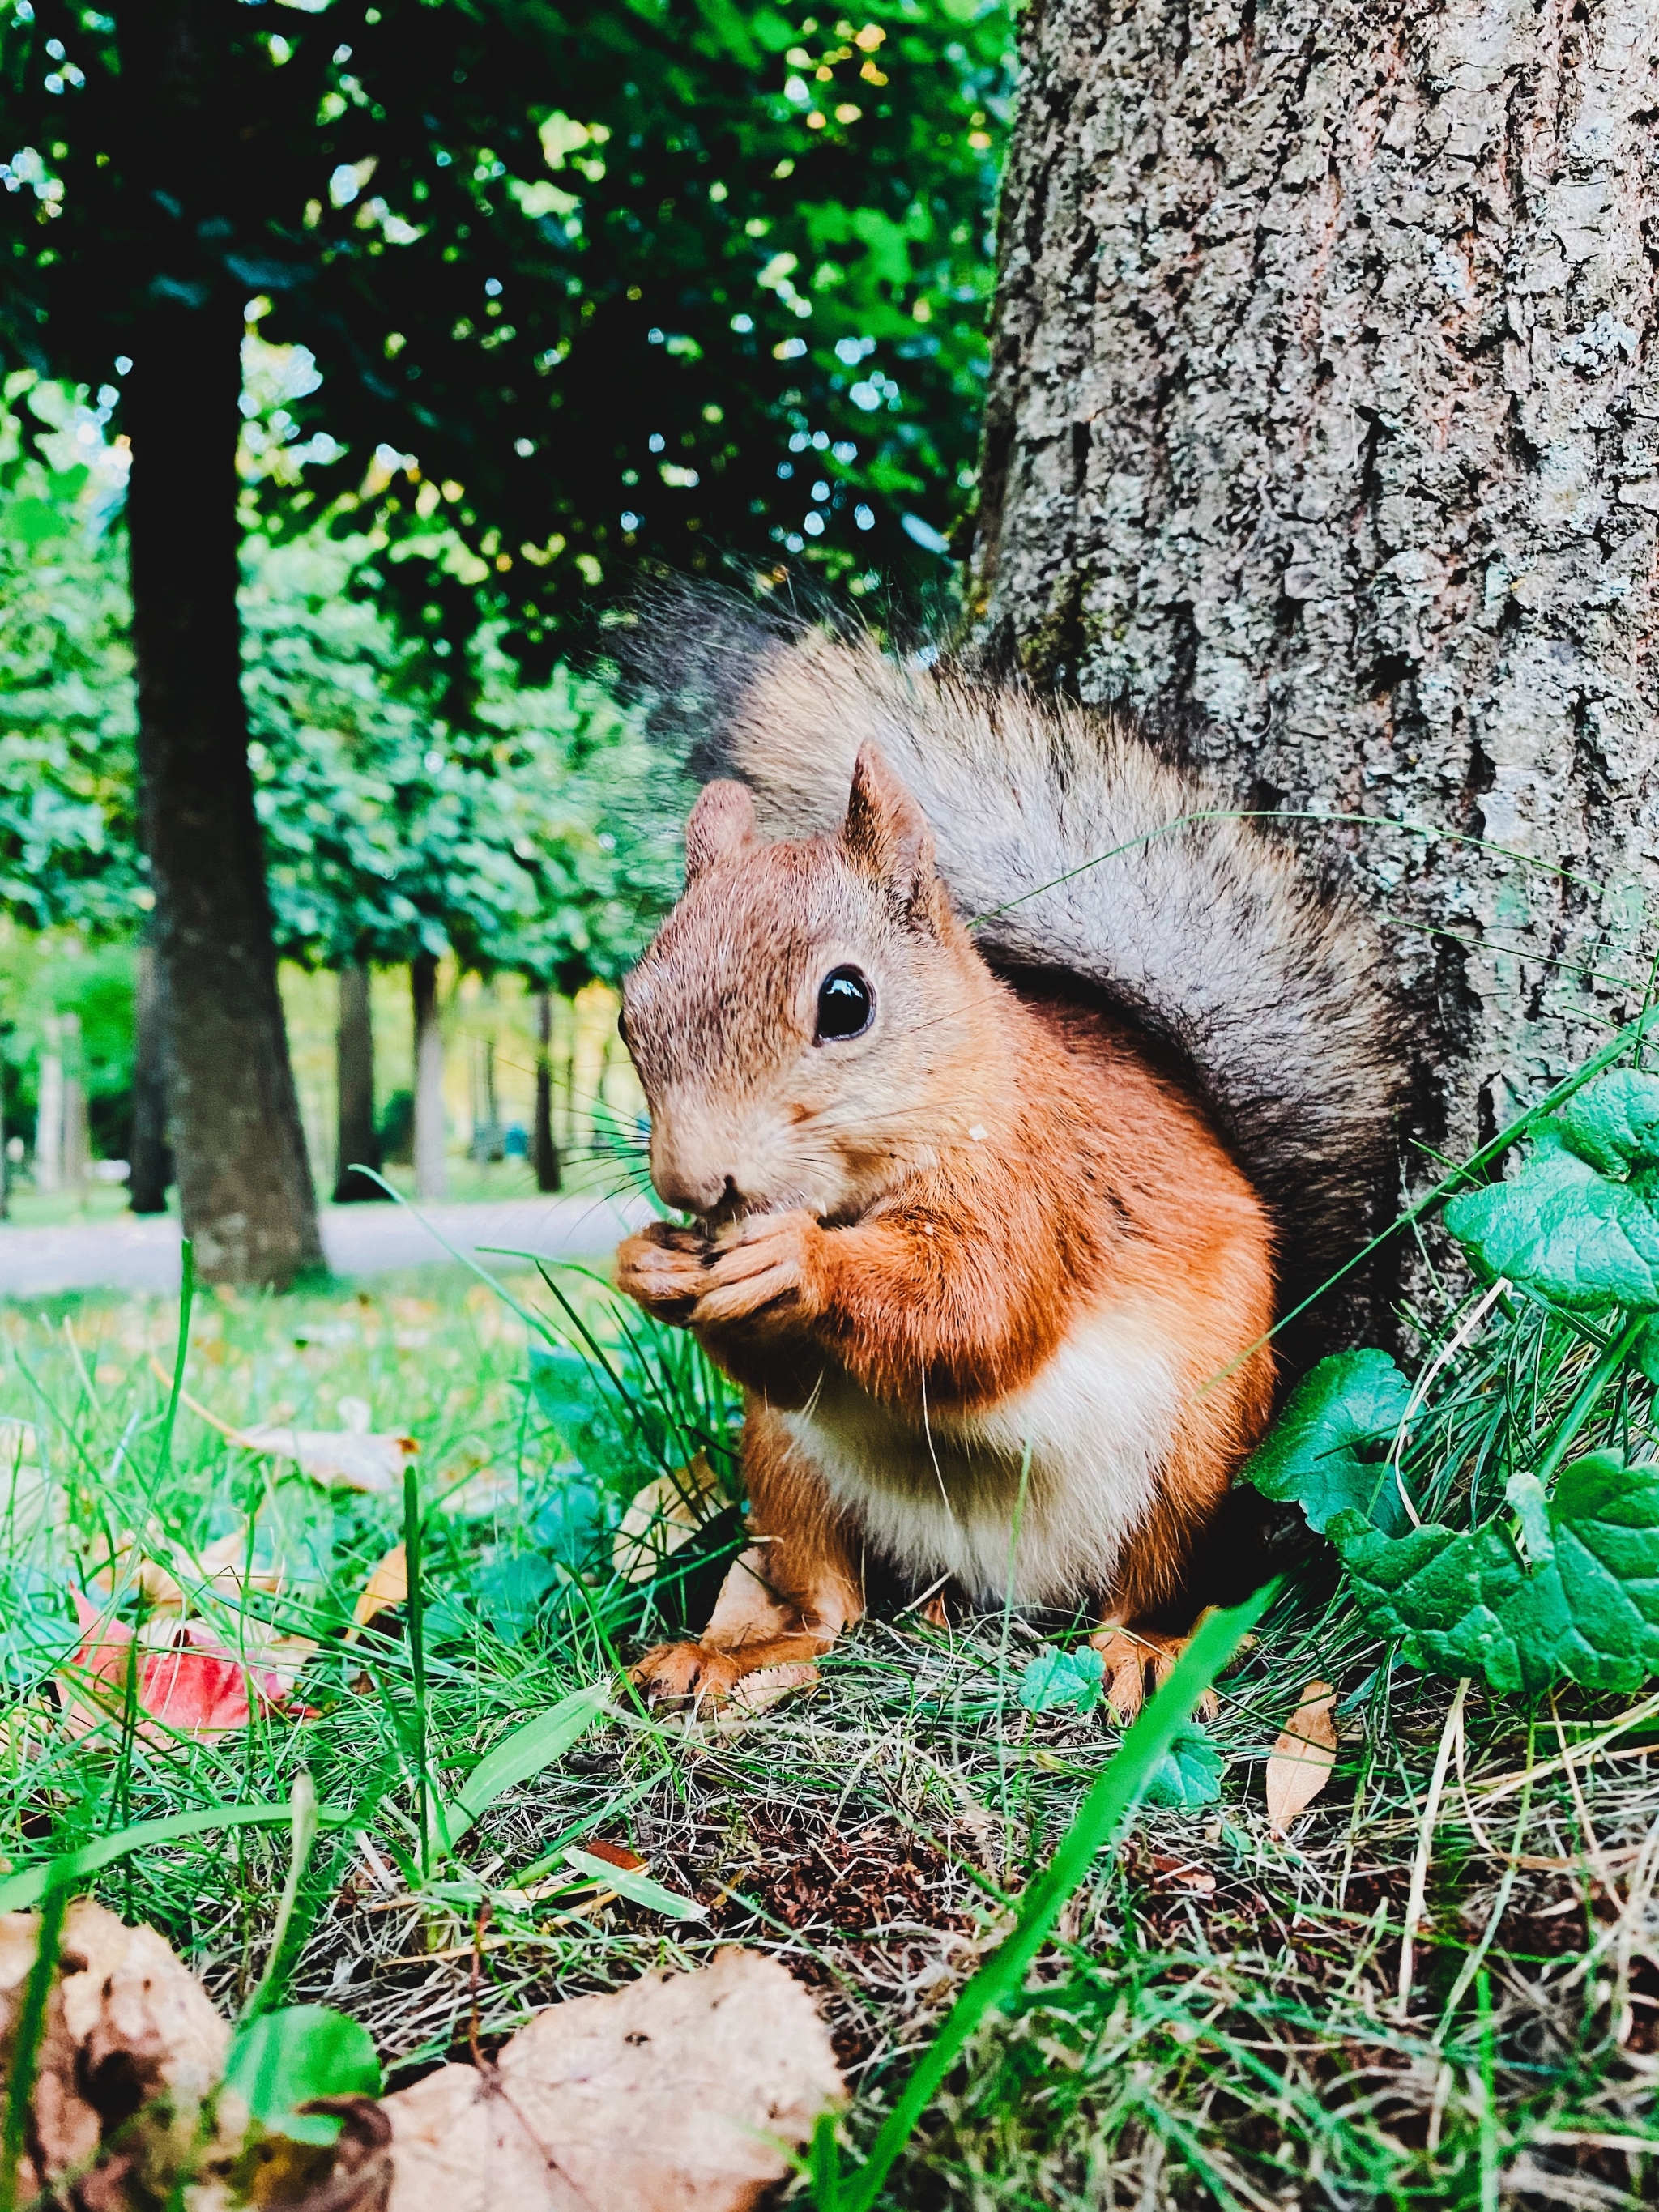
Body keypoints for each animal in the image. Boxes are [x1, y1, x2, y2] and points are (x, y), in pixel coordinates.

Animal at [610, 615, 1406, 1716]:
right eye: (627, 1012)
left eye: (846, 1001)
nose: (695, 1186)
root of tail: (994, 1586)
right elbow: (787, 1363)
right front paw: (645, 1262)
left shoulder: (1038, 1183)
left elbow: (975, 1311)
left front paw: (796, 1262)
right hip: (784, 1467)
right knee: (829, 1606)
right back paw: (732, 1654)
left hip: (1191, 1457)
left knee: (1144, 1585)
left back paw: (1148, 1650)